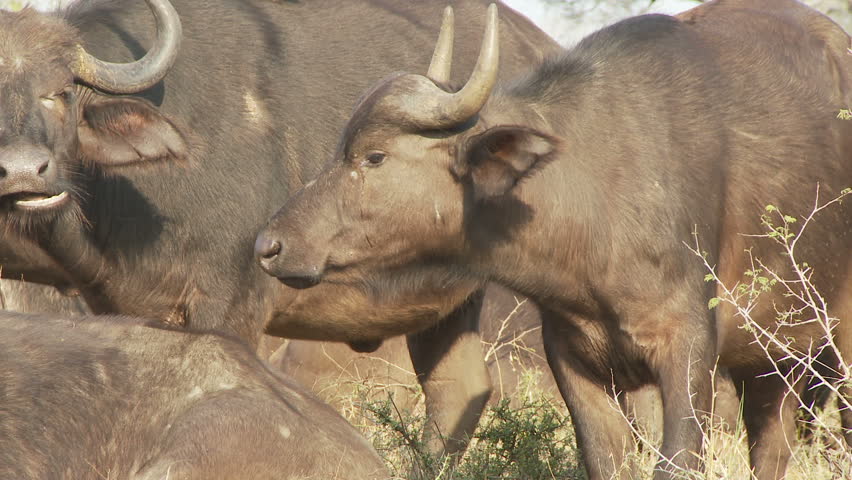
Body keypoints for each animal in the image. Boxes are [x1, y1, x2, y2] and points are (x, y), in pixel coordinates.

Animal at [255, 1, 852, 479]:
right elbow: (605, 461)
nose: (269, 245)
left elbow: (678, 460)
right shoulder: (574, 358)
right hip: (774, 363)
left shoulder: (687, 350)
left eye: (374, 156)